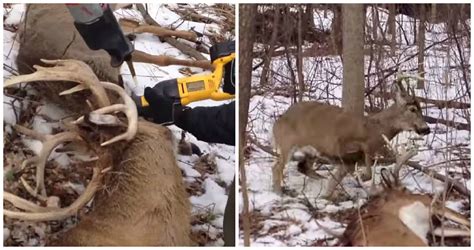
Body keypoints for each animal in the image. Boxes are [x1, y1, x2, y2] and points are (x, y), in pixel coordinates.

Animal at [270, 77, 430, 198]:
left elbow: (336, 180)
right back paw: (278, 192)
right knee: (277, 167)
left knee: (303, 167)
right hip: (287, 143)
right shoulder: (343, 145)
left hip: (309, 151)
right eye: (412, 109)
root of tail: (278, 121)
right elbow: (366, 171)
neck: (373, 128)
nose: (426, 129)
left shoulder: (350, 161)